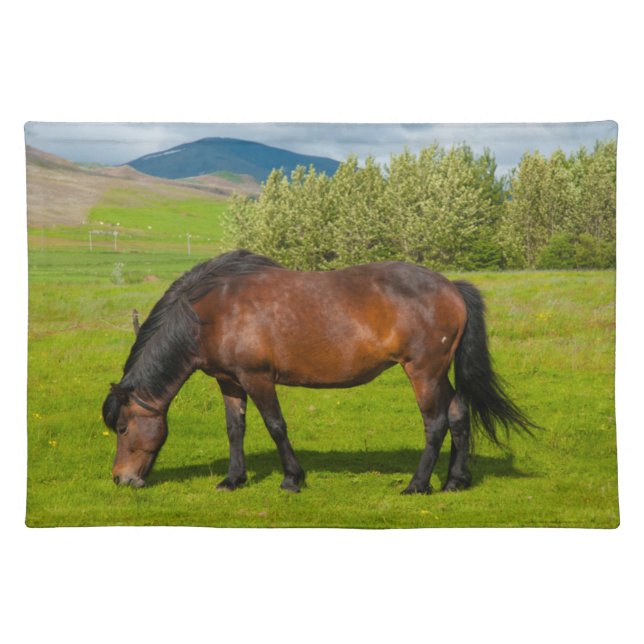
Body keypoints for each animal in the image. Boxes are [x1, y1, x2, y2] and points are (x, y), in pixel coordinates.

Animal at [102, 249, 537, 494]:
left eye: (122, 428)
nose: (122, 479)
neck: (213, 311)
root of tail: (450, 287)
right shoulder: (230, 382)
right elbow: (235, 429)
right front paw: (233, 479)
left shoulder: (258, 378)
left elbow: (276, 426)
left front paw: (292, 479)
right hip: (438, 374)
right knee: (459, 413)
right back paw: (454, 482)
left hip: (424, 373)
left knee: (435, 423)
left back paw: (417, 485)